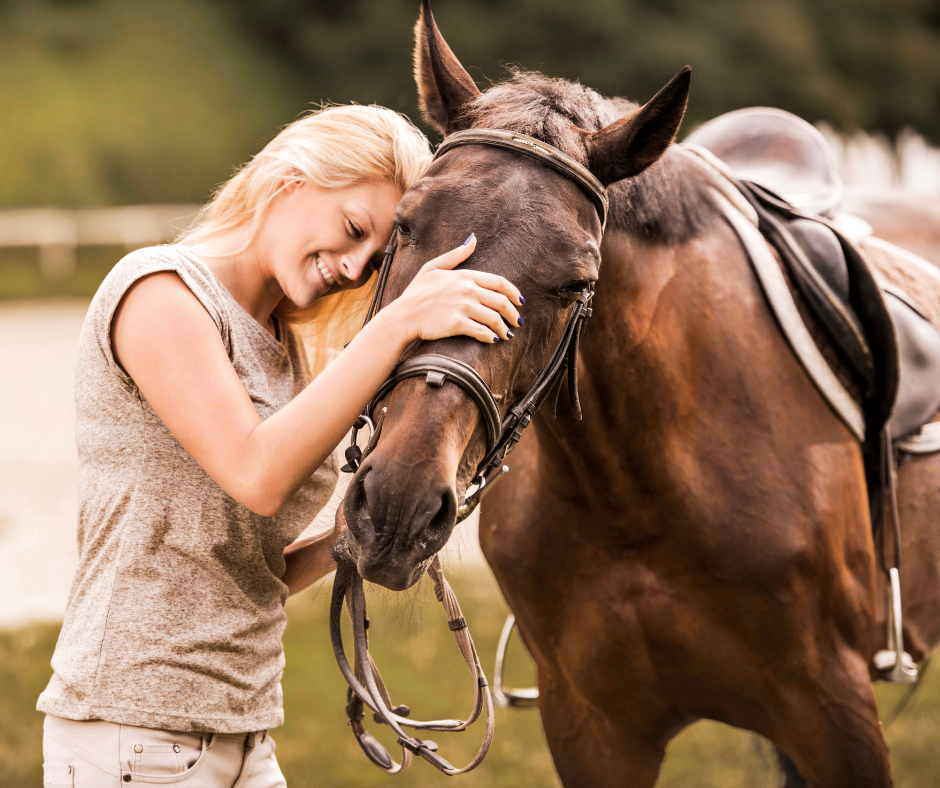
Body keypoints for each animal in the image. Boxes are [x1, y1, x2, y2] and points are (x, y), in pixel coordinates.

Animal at [340, 3, 940, 784]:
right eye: (405, 226)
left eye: (577, 281)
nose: (398, 505)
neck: (635, 493)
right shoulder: (594, 729)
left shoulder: (835, 716)